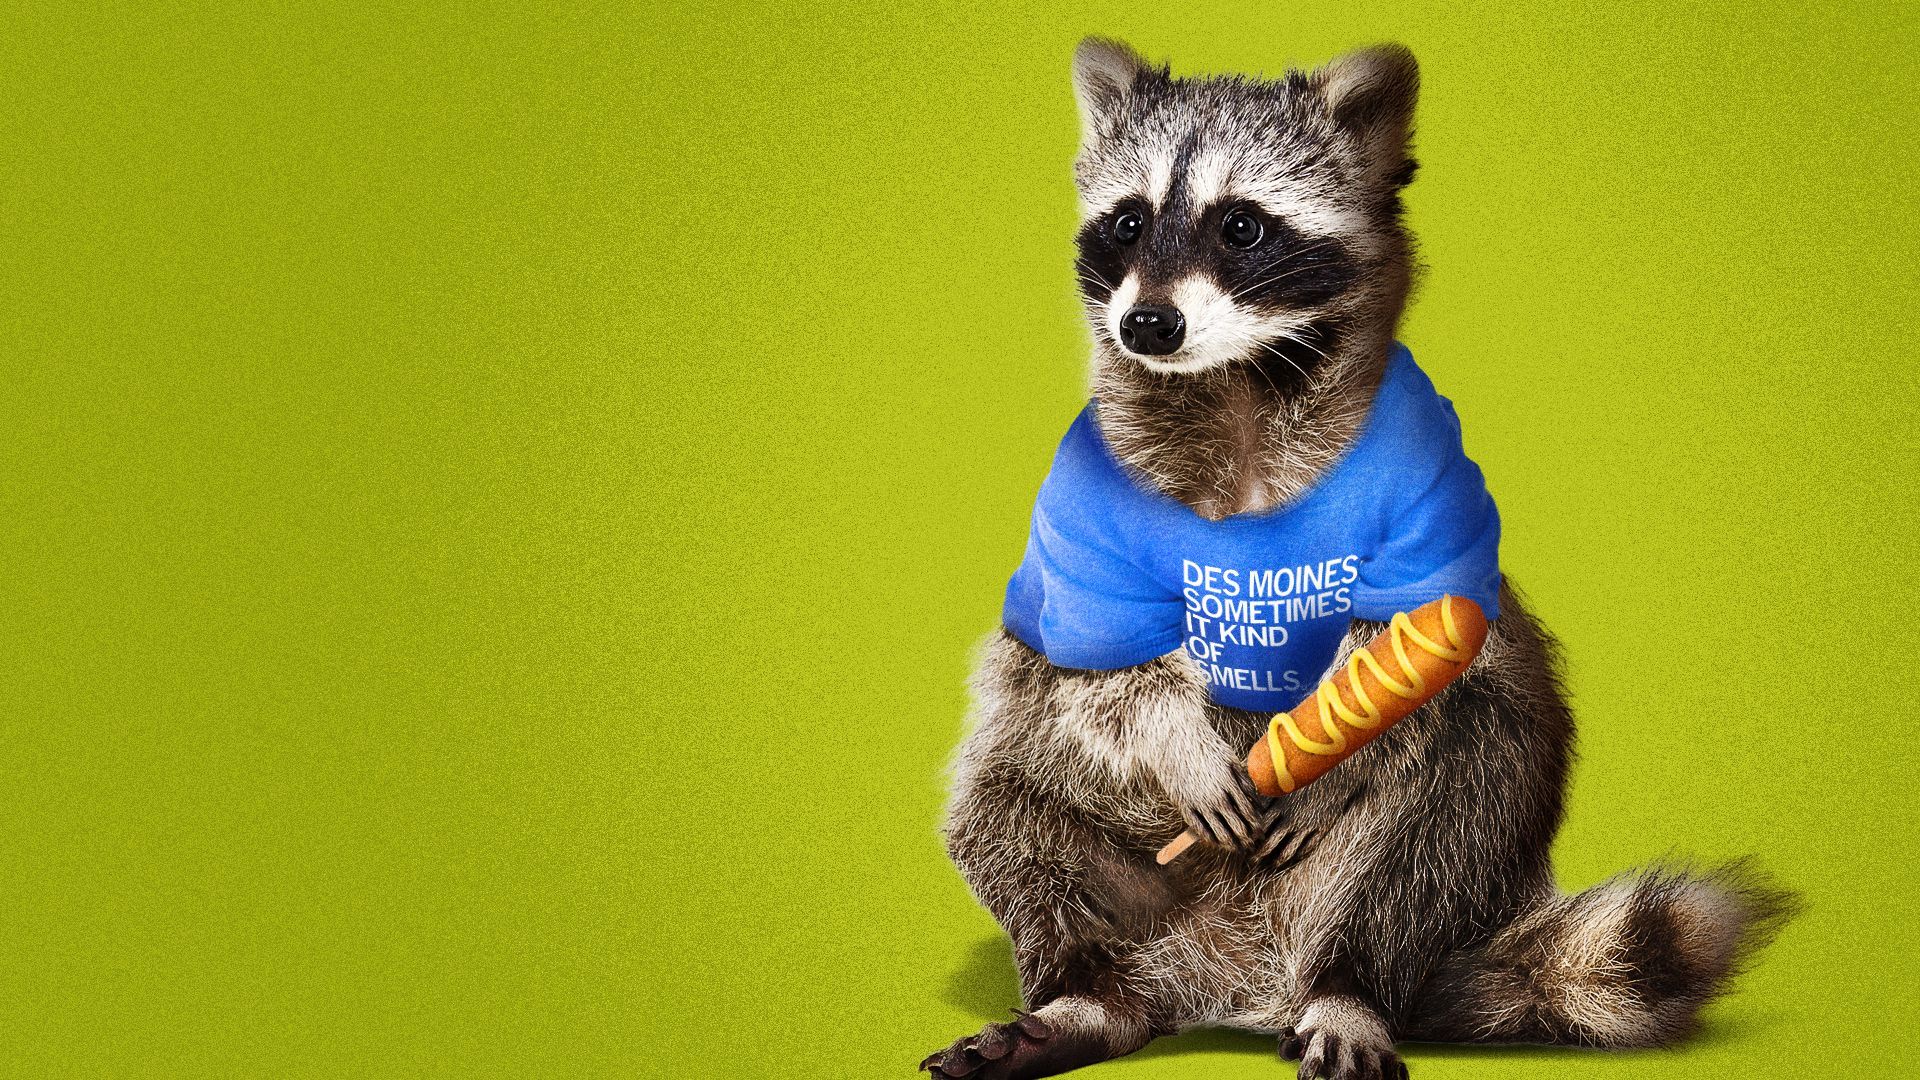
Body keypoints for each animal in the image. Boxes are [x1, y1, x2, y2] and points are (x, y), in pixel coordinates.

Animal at [923, 39, 1799, 1080]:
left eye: (1243, 227)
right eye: (1127, 221)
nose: (1149, 326)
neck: (1237, 390)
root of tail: (1235, 975)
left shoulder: (1429, 490)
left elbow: (1424, 653)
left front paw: (1331, 761)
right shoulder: (1084, 514)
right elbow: (1089, 668)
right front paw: (1177, 742)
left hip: (1418, 868)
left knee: (1464, 777)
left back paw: (1351, 985)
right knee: (1000, 797)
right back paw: (1085, 992)